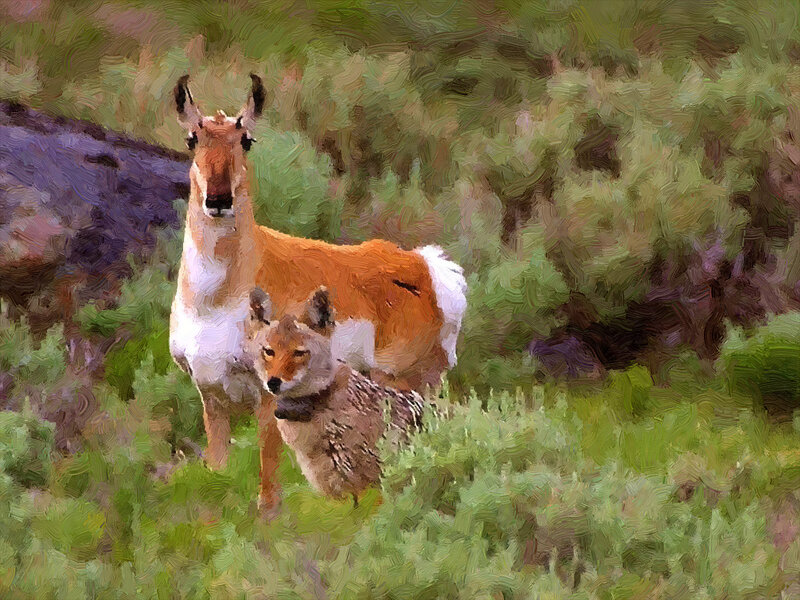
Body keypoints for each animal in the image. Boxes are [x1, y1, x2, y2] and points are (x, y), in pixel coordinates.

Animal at [168, 74, 467, 512]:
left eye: (247, 140)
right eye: (192, 138)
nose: (219, 199)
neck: (215, 299)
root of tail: (424, 268)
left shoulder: (268, 397)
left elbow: (269, 485)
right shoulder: (212, 396)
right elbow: (217, 473)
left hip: (403, 385)